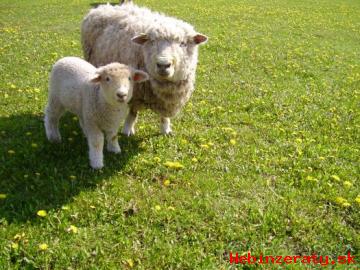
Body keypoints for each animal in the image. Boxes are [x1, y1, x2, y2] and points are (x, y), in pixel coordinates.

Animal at [80, 1, 207, 136]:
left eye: (182, 43)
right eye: (152, 42)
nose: (163, 64)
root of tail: (104, 7)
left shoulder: (165, 100)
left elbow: (164, 115)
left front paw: (166, 129)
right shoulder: (135, 90)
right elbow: (133, 112)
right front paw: (127, 129)